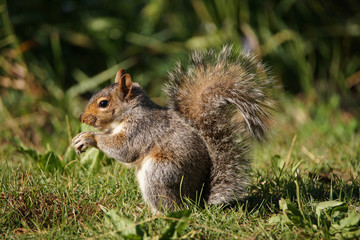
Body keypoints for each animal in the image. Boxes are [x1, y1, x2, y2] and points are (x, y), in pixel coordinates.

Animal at [71, 45, 278, 214]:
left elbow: (124, 149)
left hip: (160, 172)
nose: (81, 118)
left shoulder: (141, 129)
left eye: (103, 103)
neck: (129, 113)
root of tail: (196, 200)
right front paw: (79, 137)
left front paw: (89, 138)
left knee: (171, 207)